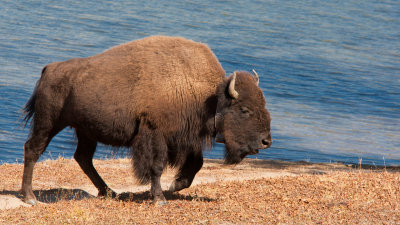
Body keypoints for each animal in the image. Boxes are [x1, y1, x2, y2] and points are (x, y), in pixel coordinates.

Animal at [21, 35, 272, 206]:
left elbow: (196, 164)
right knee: (33, 149)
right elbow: (157, 167)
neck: (206, 95)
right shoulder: (156, 135)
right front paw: (159, 198)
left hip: (86, 131)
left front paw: (175, 185)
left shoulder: (184, 139)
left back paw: (109, 192)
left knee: (83, 158)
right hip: (49, 123)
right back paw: (30, 197)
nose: (266, 141)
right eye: (245, 110)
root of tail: (49, 69)